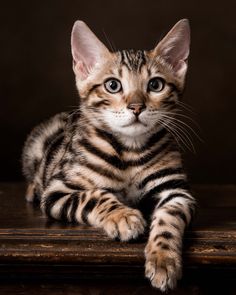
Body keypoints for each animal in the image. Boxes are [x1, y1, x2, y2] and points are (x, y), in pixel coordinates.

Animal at [22, 19, 195, 292]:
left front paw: (163, 259)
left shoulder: (176, 192)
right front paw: (123, 216)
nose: (136, 107)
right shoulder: (57, 190)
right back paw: (32, 188)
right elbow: (94, 195)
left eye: (155, 85)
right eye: (112, 85)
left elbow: (169, 220)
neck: (130, 150)